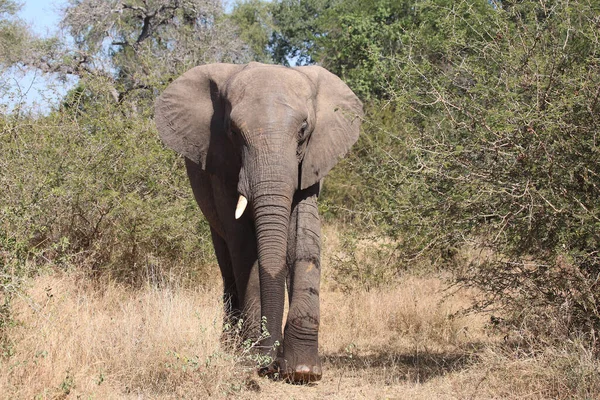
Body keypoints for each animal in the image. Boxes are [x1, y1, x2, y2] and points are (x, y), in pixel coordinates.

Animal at [155, 61, 360, 382]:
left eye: (303, 130)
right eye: (233, 131)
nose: (269, 364)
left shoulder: (312, 159)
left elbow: (304, 236)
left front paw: (302, 371)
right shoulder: (221, 163)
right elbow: (243, 244)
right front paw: (251, 358)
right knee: (226, 260)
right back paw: (230, 347)